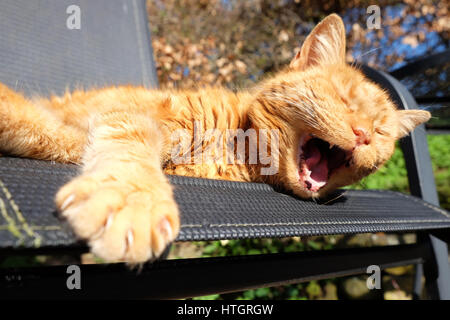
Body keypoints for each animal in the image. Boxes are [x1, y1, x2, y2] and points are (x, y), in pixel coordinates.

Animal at [0, 14, 428, 262]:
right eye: (344, 99)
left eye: (381, 131)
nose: (363, 135)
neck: (238, 157)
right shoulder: (129, 116)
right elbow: (95, 140)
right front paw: (132, 200)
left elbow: (51, 134)